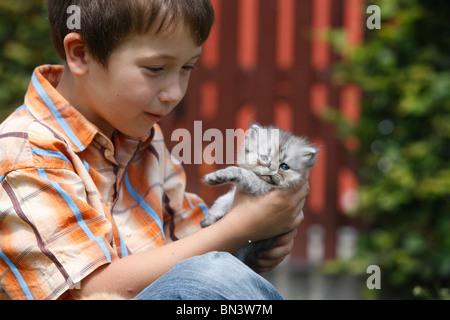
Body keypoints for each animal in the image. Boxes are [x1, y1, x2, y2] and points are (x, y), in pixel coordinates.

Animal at [200, 124, 316, 268]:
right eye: (264, 158)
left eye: (284, 166)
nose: (271, 168)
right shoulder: (232, 195)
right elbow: (221, 201)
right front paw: (209, 218)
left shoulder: (260, 186)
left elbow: (240, 172)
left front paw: (219, 176)